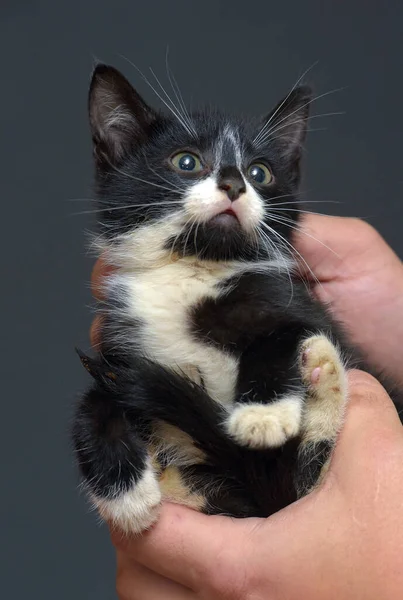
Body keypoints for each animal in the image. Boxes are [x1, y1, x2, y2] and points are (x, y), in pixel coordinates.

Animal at [72, 65, 392, 536]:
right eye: (186, 162)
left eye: (259, 173)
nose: (233, 183)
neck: (193, 269)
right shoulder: (119, 337)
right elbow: (93, 400)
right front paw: (123, 492)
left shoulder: (292, 299)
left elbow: (282, 333)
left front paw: (263, 415)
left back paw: (323, 373)